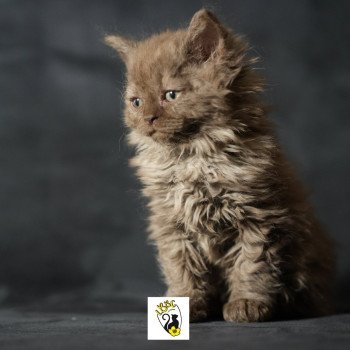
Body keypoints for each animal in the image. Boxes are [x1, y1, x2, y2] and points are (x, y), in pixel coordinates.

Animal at [106, 8, 334, 322]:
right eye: (136, 102)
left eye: (171, 95)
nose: (148, 119)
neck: (193, 158)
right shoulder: (171, 224)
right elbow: (182, 268)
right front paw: (187, 302)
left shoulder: (259, 218)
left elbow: (252, 265)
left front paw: (246, 303)